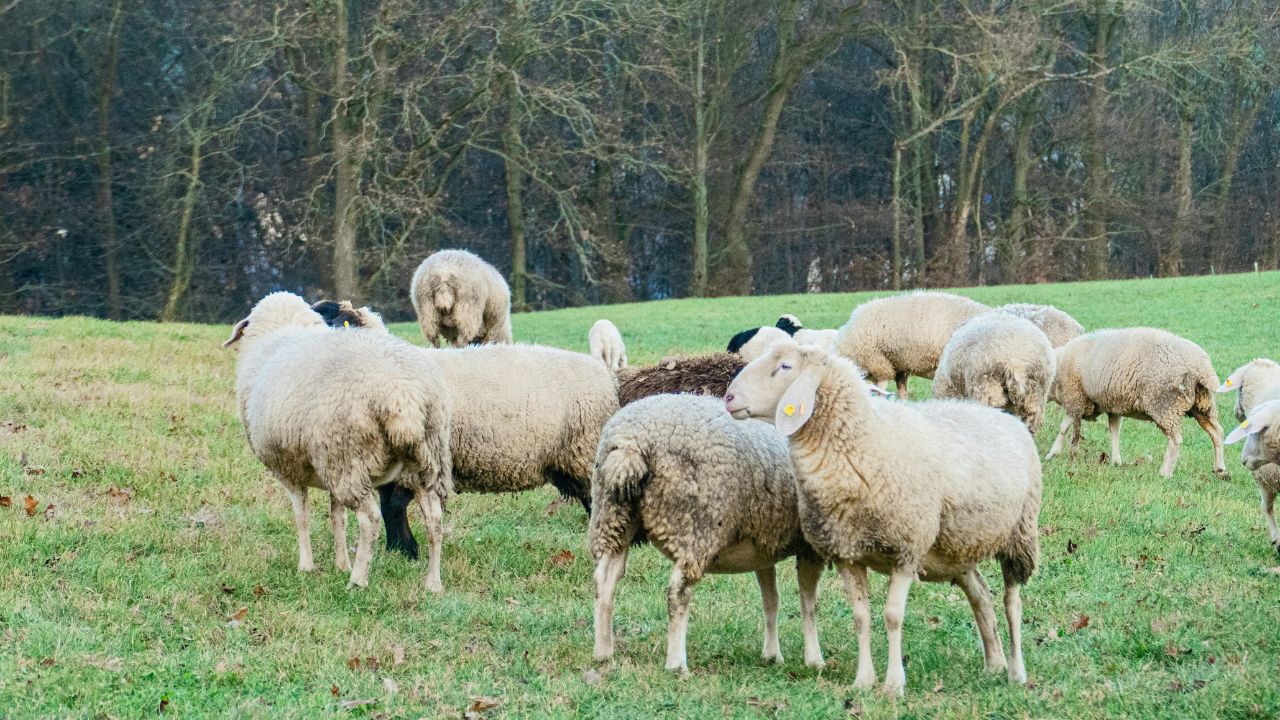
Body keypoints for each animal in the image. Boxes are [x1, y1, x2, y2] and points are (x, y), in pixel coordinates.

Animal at [223, 292, 452, 590]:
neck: (280, 331)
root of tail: (403, 396)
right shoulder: (327, 465)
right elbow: (337, 518)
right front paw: (341, 564)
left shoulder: (289, 469)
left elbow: (302, 517)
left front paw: (307, 566)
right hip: (422, 460)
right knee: (434, 519)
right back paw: (433, 583)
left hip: (349, 457)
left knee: (370, 519)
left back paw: (358, 581)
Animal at [590, 394, 824, 672]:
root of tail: (630, 444)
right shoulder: (810, 547)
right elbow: (808, 603)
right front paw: (814, 659)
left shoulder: (764, 544)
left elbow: (771, 599)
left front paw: (772, 655)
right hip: (696, 527)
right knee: (677, 593)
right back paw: (676, 664)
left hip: (613, 516)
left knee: (605, 581)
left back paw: (604, 652)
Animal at [725, 339, 1041, 694]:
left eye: (785, 367)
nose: (729, 398)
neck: (864, 441)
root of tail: (1003, 416)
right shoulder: (847, 552)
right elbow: (861, 617)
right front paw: (863, 681)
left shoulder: (906, 549)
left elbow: (892, 616)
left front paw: (893, 685)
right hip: (956, 547)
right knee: (981, 596)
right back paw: (993, 663)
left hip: (1019, 536)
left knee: (1012, 602)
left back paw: (1016, 671)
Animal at [1045, 328, 1227, 479]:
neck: (1057, 370)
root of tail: (1203, 368)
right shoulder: (1114, 405)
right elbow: (1114, 431)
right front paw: (1116, 461)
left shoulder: (1075, 399)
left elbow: (1063, 427)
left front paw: (1052, 453)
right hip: (1203, 404)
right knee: (1216, 432)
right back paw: (1220, 469)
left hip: (1165, 405)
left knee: (1176, 440)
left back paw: (1165, 472)